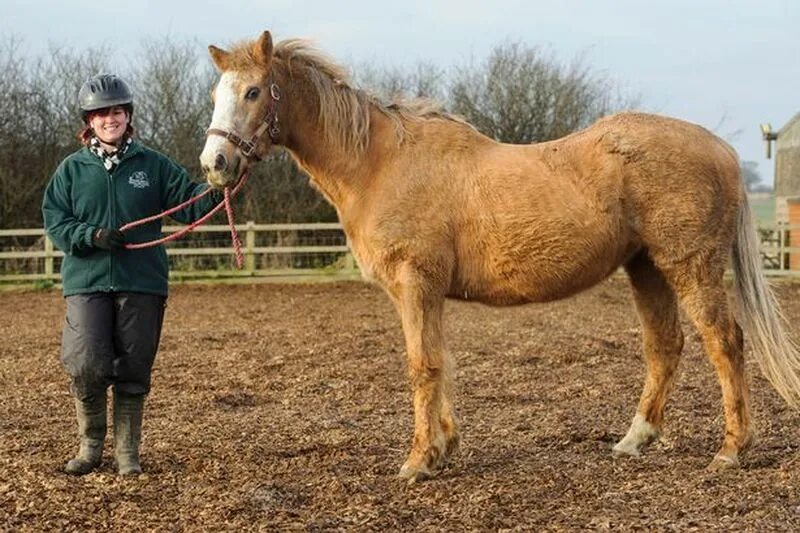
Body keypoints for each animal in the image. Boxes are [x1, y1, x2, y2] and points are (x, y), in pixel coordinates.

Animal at [198, 31, 800, 484]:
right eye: (215, 95)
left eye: (254, 92)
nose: (215, 163)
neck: (379, 162)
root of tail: (721, 150)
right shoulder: (425, 292)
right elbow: (440, 361)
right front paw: (443, 448)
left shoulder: (416, 283)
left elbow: (422, 365)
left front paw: (417, 462)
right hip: (645, 267)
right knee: (665, 347)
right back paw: (634, 440)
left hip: (688, 266)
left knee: (725, 343)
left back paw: (730, 450)